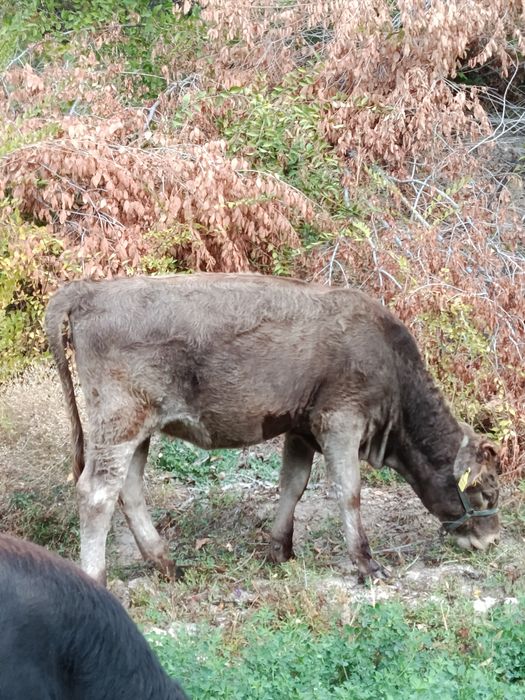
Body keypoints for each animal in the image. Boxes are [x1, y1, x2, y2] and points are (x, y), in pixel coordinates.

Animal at [45, 273, 500, 585]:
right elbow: (349, 493)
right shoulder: (340, 421)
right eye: (486, 492)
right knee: (97, 494)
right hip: (119, 422)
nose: (492, 540)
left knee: (130, 490)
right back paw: (98, 578)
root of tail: (91, 290)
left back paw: (166, 564)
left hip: (137, 430)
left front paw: (279, 550)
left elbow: (293, 485)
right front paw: (367, 564)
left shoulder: (301, 428)